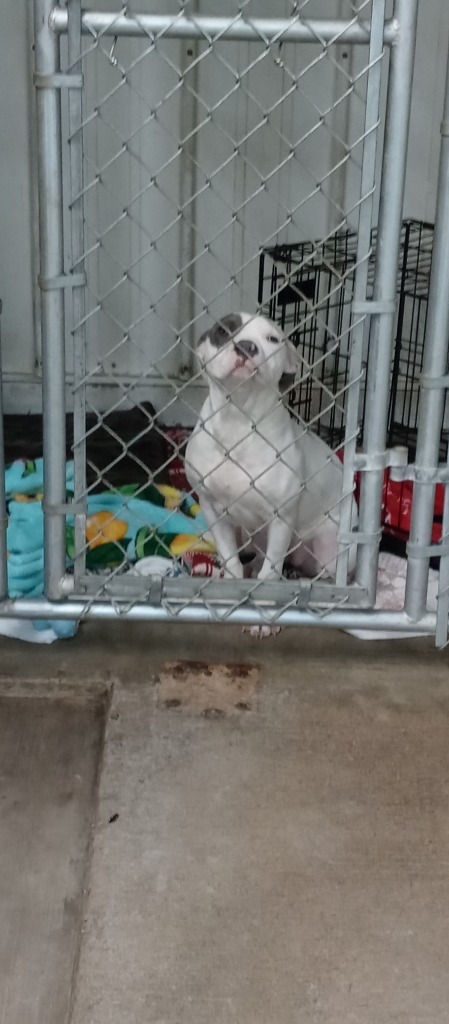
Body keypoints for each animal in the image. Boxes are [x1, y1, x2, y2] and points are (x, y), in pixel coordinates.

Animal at [184, 315, 356, 593]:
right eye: (223, 330)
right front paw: (232, 579)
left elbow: (272, 568)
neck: (238, 419)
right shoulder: (212, 508)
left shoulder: (281, 517)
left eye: (273, 339)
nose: (246, 346)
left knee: (328, 573)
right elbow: (230, 557)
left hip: (331, 547)